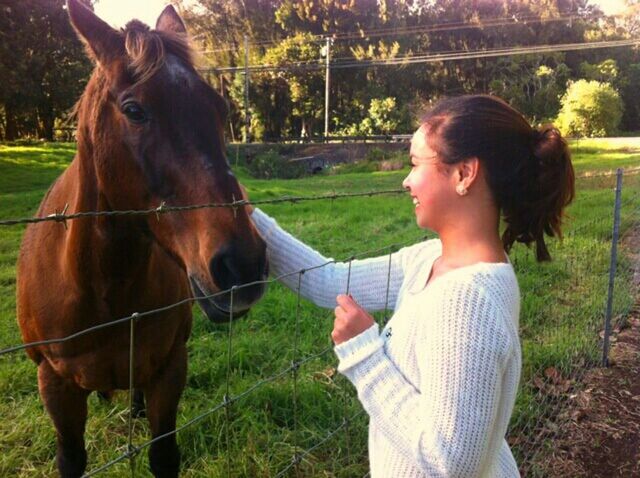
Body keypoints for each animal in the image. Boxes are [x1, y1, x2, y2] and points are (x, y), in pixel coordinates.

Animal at [16, 1, 268, 476]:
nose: (242, 265)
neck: (101, 289)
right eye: (134, 110)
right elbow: (70, 459)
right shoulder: (55, 386)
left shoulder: (169, 369)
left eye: (219, 108)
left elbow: (163, 453)